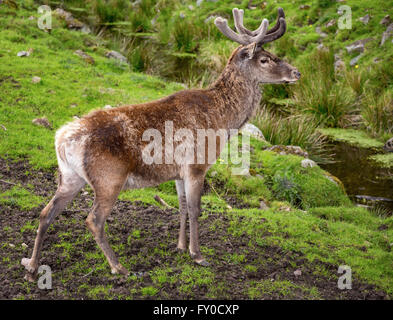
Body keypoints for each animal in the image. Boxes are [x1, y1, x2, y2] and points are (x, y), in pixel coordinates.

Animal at [21, 7, 300, 280]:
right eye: (264, 59)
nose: (296, 72)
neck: (223, 120)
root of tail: (62, 139)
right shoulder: (197, 164)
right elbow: (196, 209)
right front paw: (198, 255)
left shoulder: (177, 171)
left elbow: (182, 207)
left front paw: (180, 247)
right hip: (108, 178)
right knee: (93, 220)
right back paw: (118, 267)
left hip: (70, 177)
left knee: (46, 212)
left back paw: (32, 267)